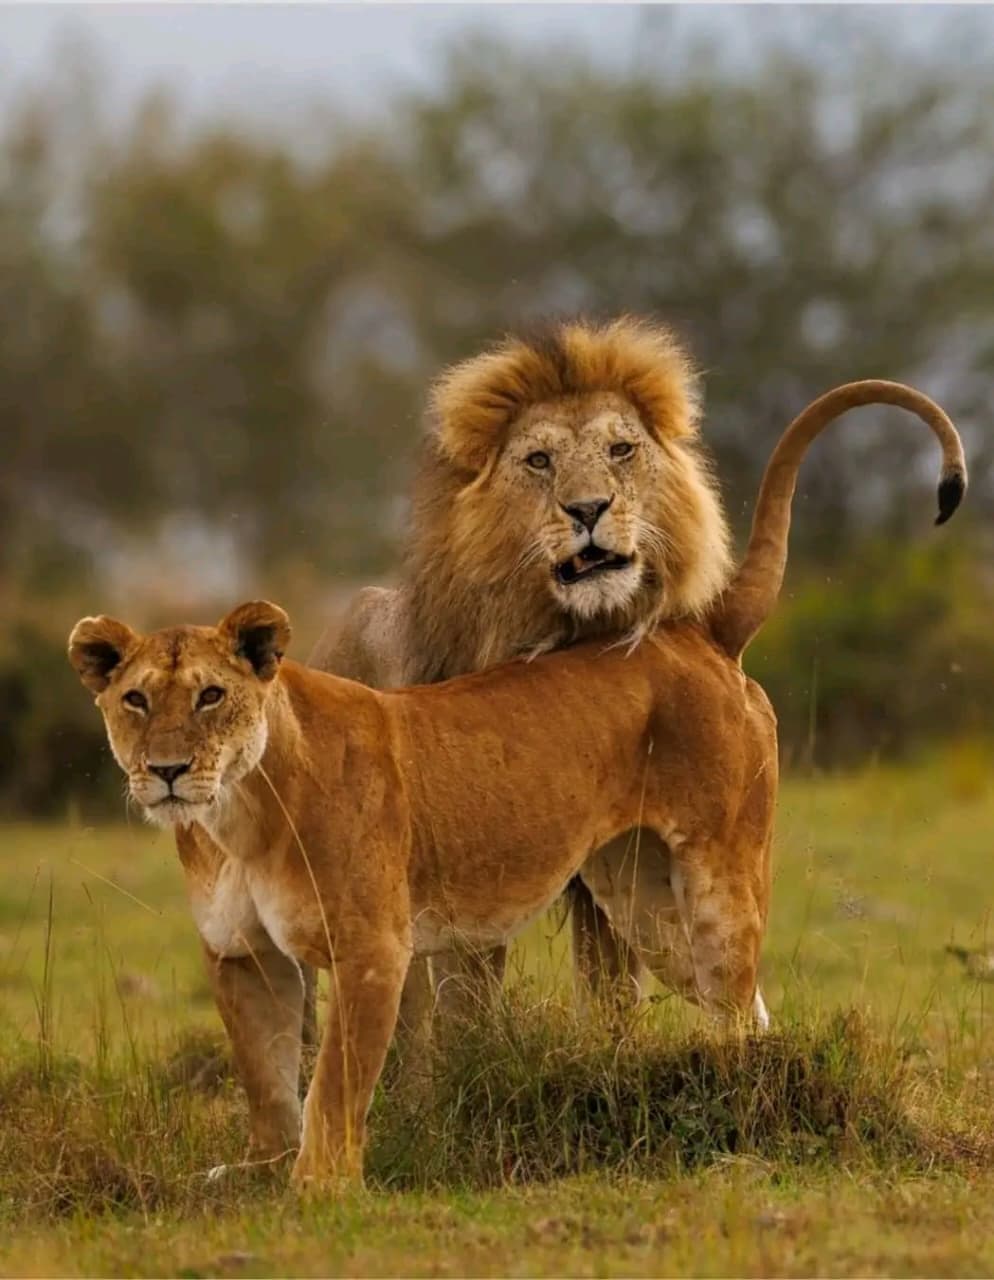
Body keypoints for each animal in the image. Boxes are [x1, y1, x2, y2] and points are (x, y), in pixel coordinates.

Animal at [69, 380, 965, 1186]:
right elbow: (265, 1080)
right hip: (647, 901)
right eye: (136, 699)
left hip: (718, 880)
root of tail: (693, 630)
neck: (238, 816)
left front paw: (318, 1191)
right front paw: (257, 1172)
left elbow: (334, 1089)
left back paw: (752, 1121)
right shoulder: (241, 955)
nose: (167, 772)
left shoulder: (372, 947)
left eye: (211, 696)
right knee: (743, 1012)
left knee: (739, 998)